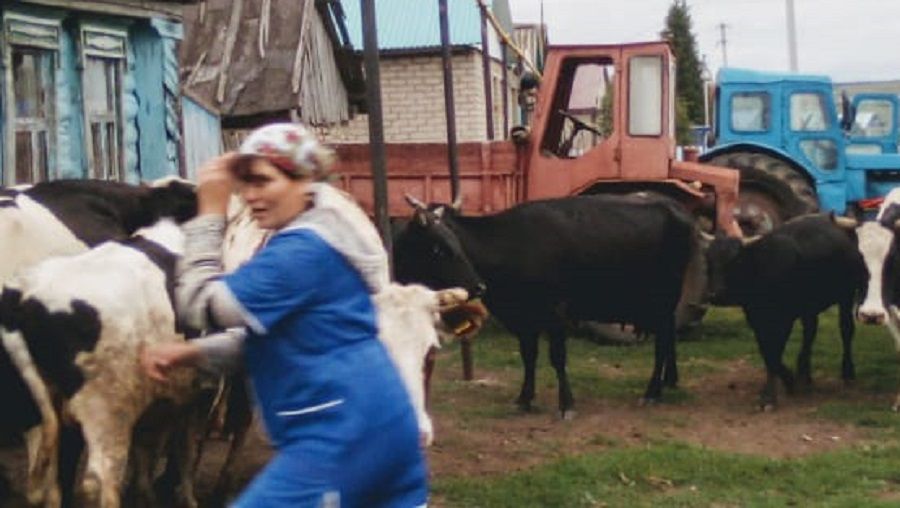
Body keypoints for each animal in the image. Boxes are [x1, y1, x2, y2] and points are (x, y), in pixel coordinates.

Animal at [396, 192, 704, 414]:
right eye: (438, 247)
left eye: (452, 243)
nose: (478, 286)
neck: (510, 244)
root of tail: (674, 207)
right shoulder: (523, 317)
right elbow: (529, 356)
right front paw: (524, 398)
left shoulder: (556, 311)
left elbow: (557, 357)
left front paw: (566, 404)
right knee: (668, 336)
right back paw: (668, 381)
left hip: (662, 299)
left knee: (663, 341)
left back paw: (652, 391)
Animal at [708, 213, 868, 408]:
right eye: (709, 261)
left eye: (735, 261)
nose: (715, 295)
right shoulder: (755, 319)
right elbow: (767, 351)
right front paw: (788, 380)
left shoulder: (784, 320)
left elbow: (774, 352)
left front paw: (769, 396)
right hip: (809, 307)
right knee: (810, 332)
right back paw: (804, 375)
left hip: (846, 295)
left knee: (846, 329)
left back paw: (847, 373)